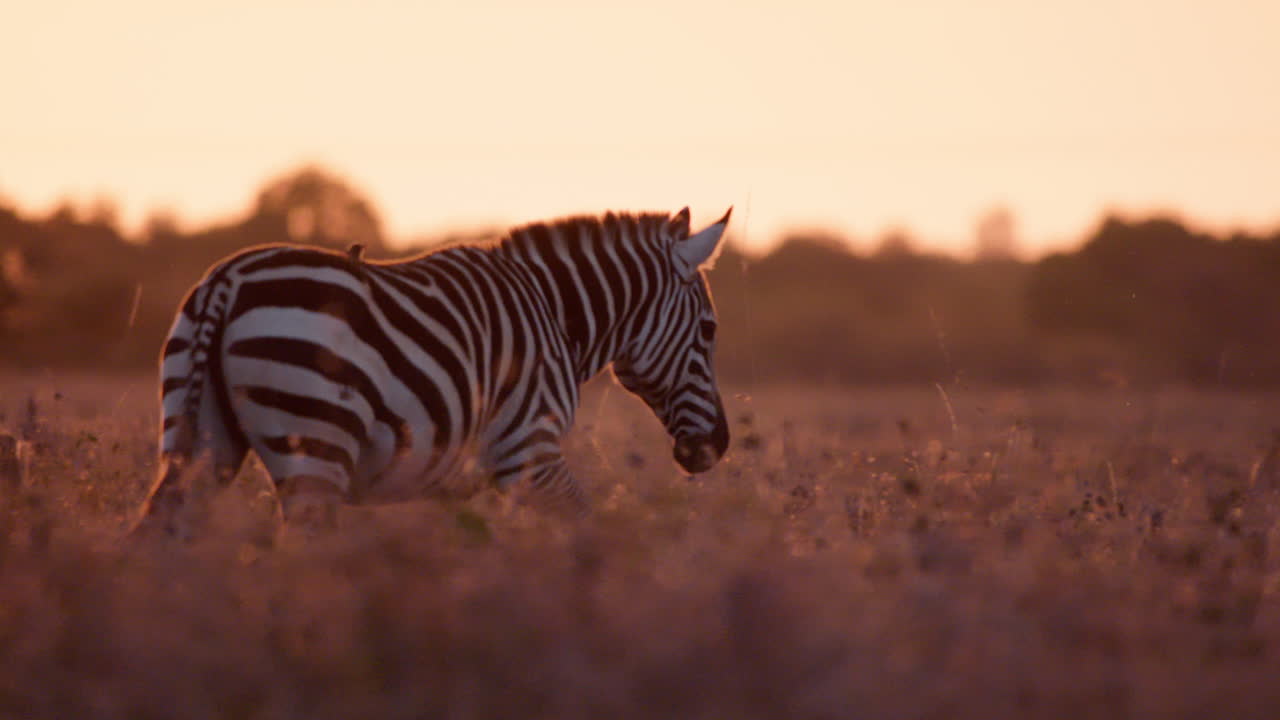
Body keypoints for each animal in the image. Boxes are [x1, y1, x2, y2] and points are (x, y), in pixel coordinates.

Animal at [131, 207, 732, 538]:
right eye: (708, 330)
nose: (719, 447)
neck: (557, 316)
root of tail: (226, 281)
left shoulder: (457, 477)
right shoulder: (529, 451)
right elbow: (587, 529)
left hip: (203, 439)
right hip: (314, 446)